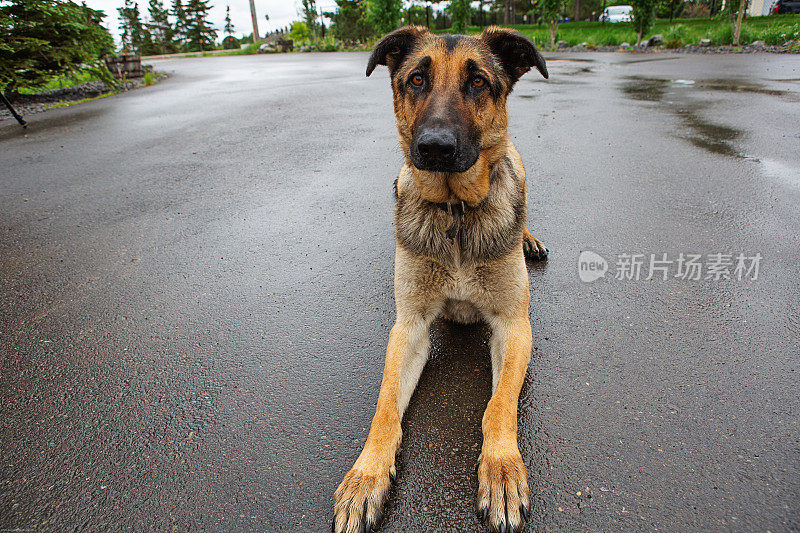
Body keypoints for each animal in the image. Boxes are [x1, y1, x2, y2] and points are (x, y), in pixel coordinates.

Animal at [332, 26, 552, 532]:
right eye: (416, 79)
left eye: (478, 81)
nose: (435, 147)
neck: (455, 213)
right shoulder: (408, 328)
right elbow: (385, 406)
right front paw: (365, 475)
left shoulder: (515, 327)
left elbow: (498, 406)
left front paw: (502, 468)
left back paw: (529, 237)